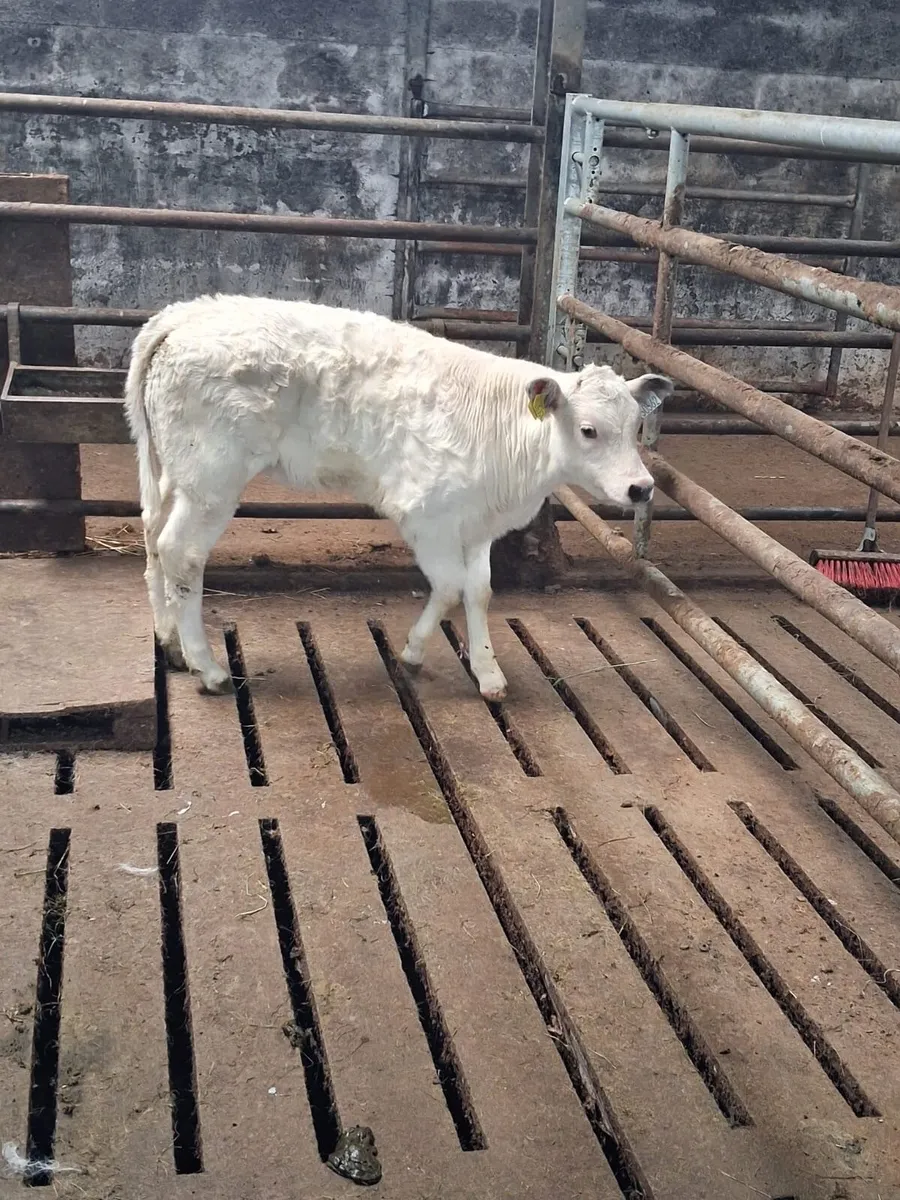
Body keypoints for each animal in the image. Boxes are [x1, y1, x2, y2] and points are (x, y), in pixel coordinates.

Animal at [125, 294, 671, 701]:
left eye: (636, 426)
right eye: (588, 429)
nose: (641, 487)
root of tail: (183, 315)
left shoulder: (477, 522)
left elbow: (479, 591)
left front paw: (488, 672)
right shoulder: (426, 515)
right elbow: (449, 586)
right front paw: (412, 651)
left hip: (174, 472)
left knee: (153, 539)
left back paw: (170, 644)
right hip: (212, 477)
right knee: (181, 553)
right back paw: (208, 667)